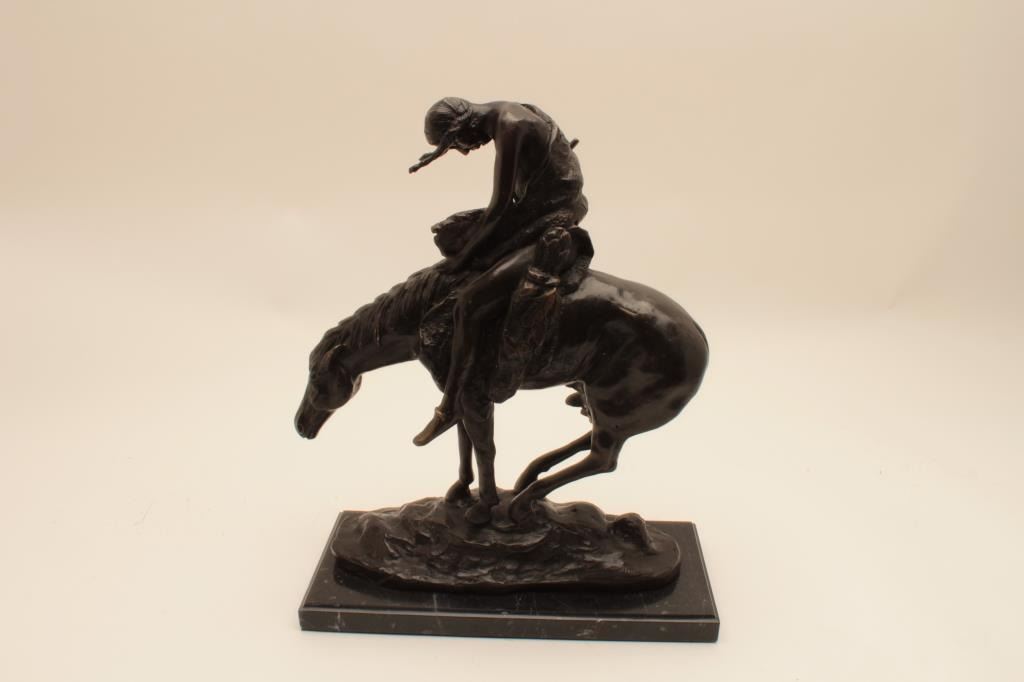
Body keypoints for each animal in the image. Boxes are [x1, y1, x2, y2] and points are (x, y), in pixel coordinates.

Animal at [294, 260, 709, 524]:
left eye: (315, 378)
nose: (300, 426)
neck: (429, 313)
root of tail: (699, 338)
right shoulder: (459, 395)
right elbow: (463, 441)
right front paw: (461, 491)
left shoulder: (473, 395)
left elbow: (483, 447)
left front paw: (484, 506)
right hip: (602, 404)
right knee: (591, 441)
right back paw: (530, 477)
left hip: (614, 408)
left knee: (601, 458)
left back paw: (523, 501)